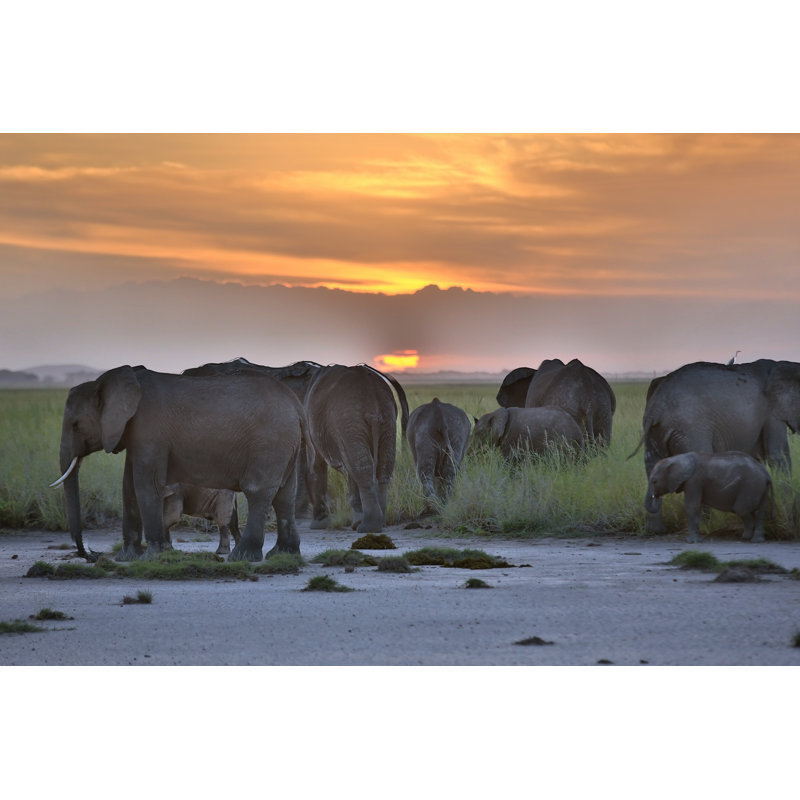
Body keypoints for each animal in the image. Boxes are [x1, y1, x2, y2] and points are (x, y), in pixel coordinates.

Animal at [50, 365, 306, 562]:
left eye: (75, 425)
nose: (91, 555)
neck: (107, 382)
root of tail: (296, 404)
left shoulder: (150, 432)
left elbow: (146, 485)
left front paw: (151, 557)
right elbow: (128, 487)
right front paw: (127, 558)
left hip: (270, 442)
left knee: (258, 491)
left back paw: (242, 557)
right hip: (287, 445)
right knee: (285, 495)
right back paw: (282, 555)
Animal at [304, 364, 410, 533]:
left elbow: (315, 464)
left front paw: (318, 526)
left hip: (348, 419)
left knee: (362, 468)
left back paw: (368, 527)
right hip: (386, 419)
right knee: (383, 466)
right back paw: (380, 523)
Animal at [638, 359, 800, 533]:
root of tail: (657, 406)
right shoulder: (773, 412)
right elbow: (778, 456)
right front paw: (788, 519)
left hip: (655, 431)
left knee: (652, 465)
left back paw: (657, 530)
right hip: (691, 429)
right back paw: (707, 527)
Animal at [644, 451, 773, 543]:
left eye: (654, 481)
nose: (656, 496)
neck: (678, 458)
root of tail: (766, 474)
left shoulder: (694, 481)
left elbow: (692, 506)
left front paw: (691, 542)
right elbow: (696, 506)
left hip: (751, 486)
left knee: (742, 509)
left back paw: (746, 537)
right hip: (760, 488)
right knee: (760, 512)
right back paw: (755, 540)